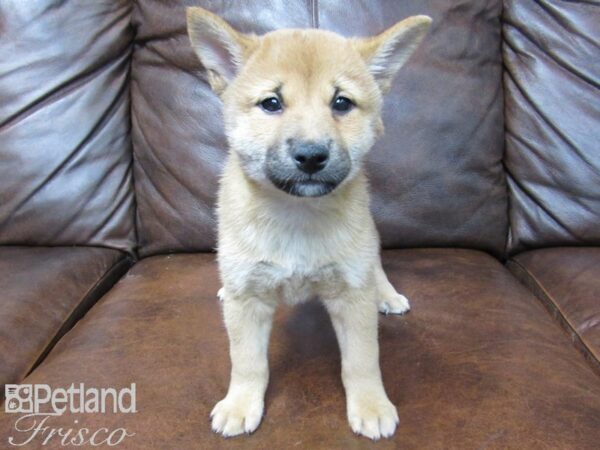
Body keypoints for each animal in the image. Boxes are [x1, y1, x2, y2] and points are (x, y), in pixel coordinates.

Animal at [188, 7, 432, 442]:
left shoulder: (352, 295)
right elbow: (247, 361)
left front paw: (371, 405)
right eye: (271, 103)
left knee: (376, 266)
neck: (296, 214)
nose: (311, 155)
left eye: (341, 103)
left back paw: (386, 294)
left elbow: (362, 360)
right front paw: (240, 404)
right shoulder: (247, 301)